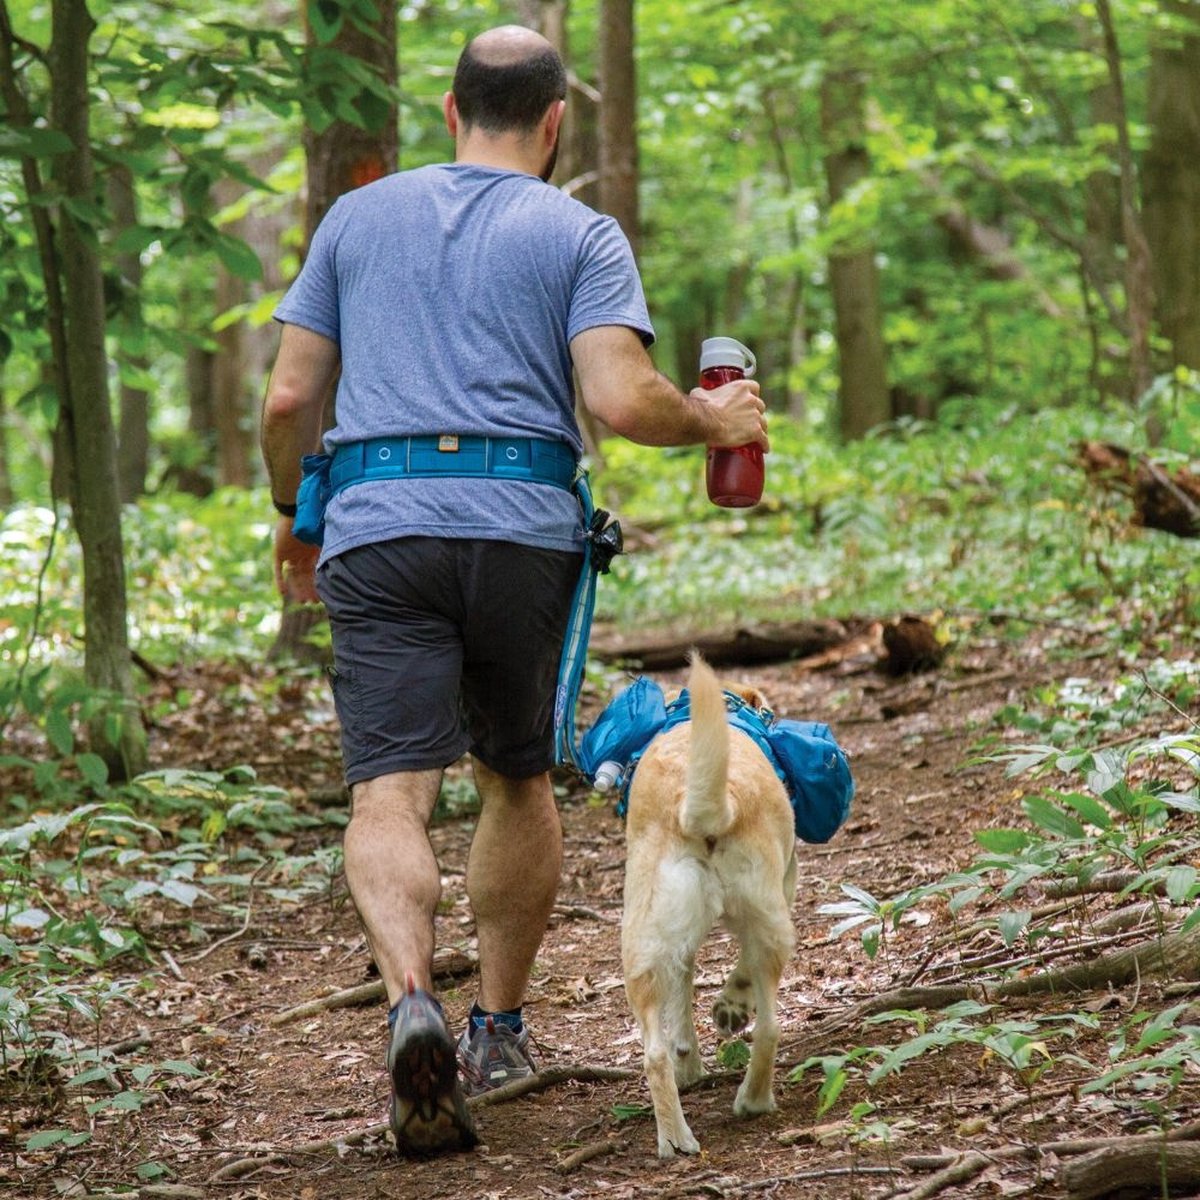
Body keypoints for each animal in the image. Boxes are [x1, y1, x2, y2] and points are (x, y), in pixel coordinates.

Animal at [619, 652, 796, 1156]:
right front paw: (729, 1007)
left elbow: (681, 1008)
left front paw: (691, 1066)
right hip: (770, 926)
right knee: (770, 1028)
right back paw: (753, 1101)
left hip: (641, 950)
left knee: (654, 1053)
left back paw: (674, 1138)